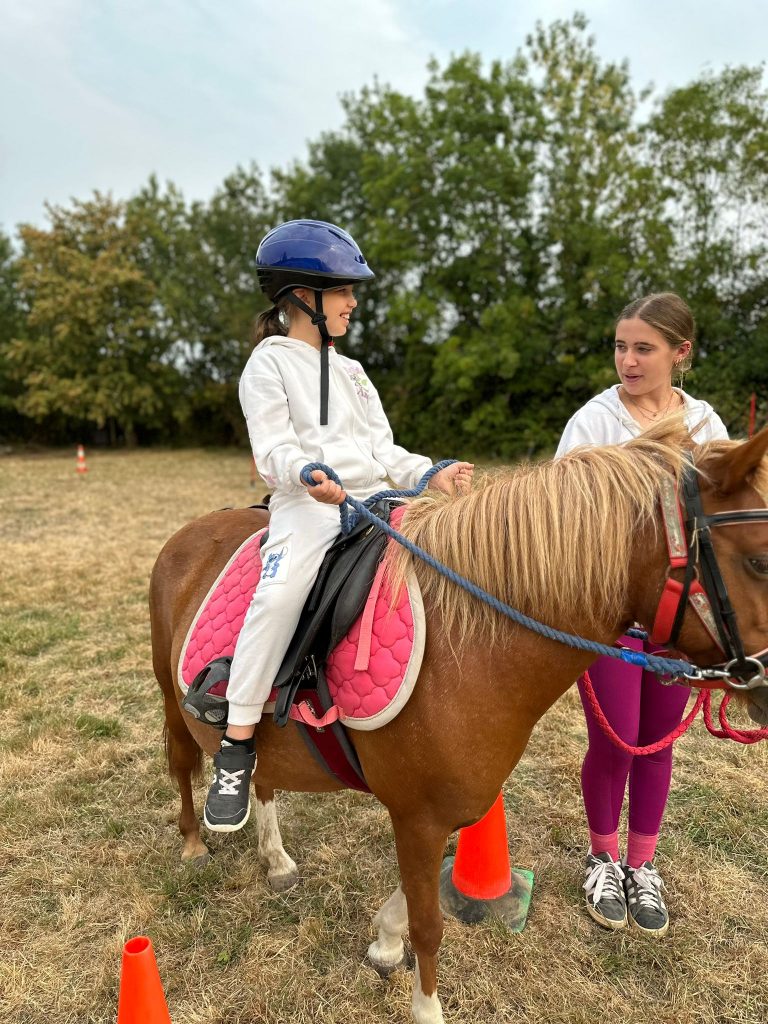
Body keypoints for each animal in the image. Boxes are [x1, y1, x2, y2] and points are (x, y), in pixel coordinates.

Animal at [149, 420, 768, 1024]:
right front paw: (425, 1005)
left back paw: (275, 859)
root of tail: (194, 529)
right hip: (169, 695)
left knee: (265, 778)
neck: (467, 644)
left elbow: (409, 900)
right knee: (185, 763)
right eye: (761, 560)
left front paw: (384, 943)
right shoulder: (418, 815)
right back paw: (193, 843)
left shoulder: (446, 807)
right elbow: (429, 926)